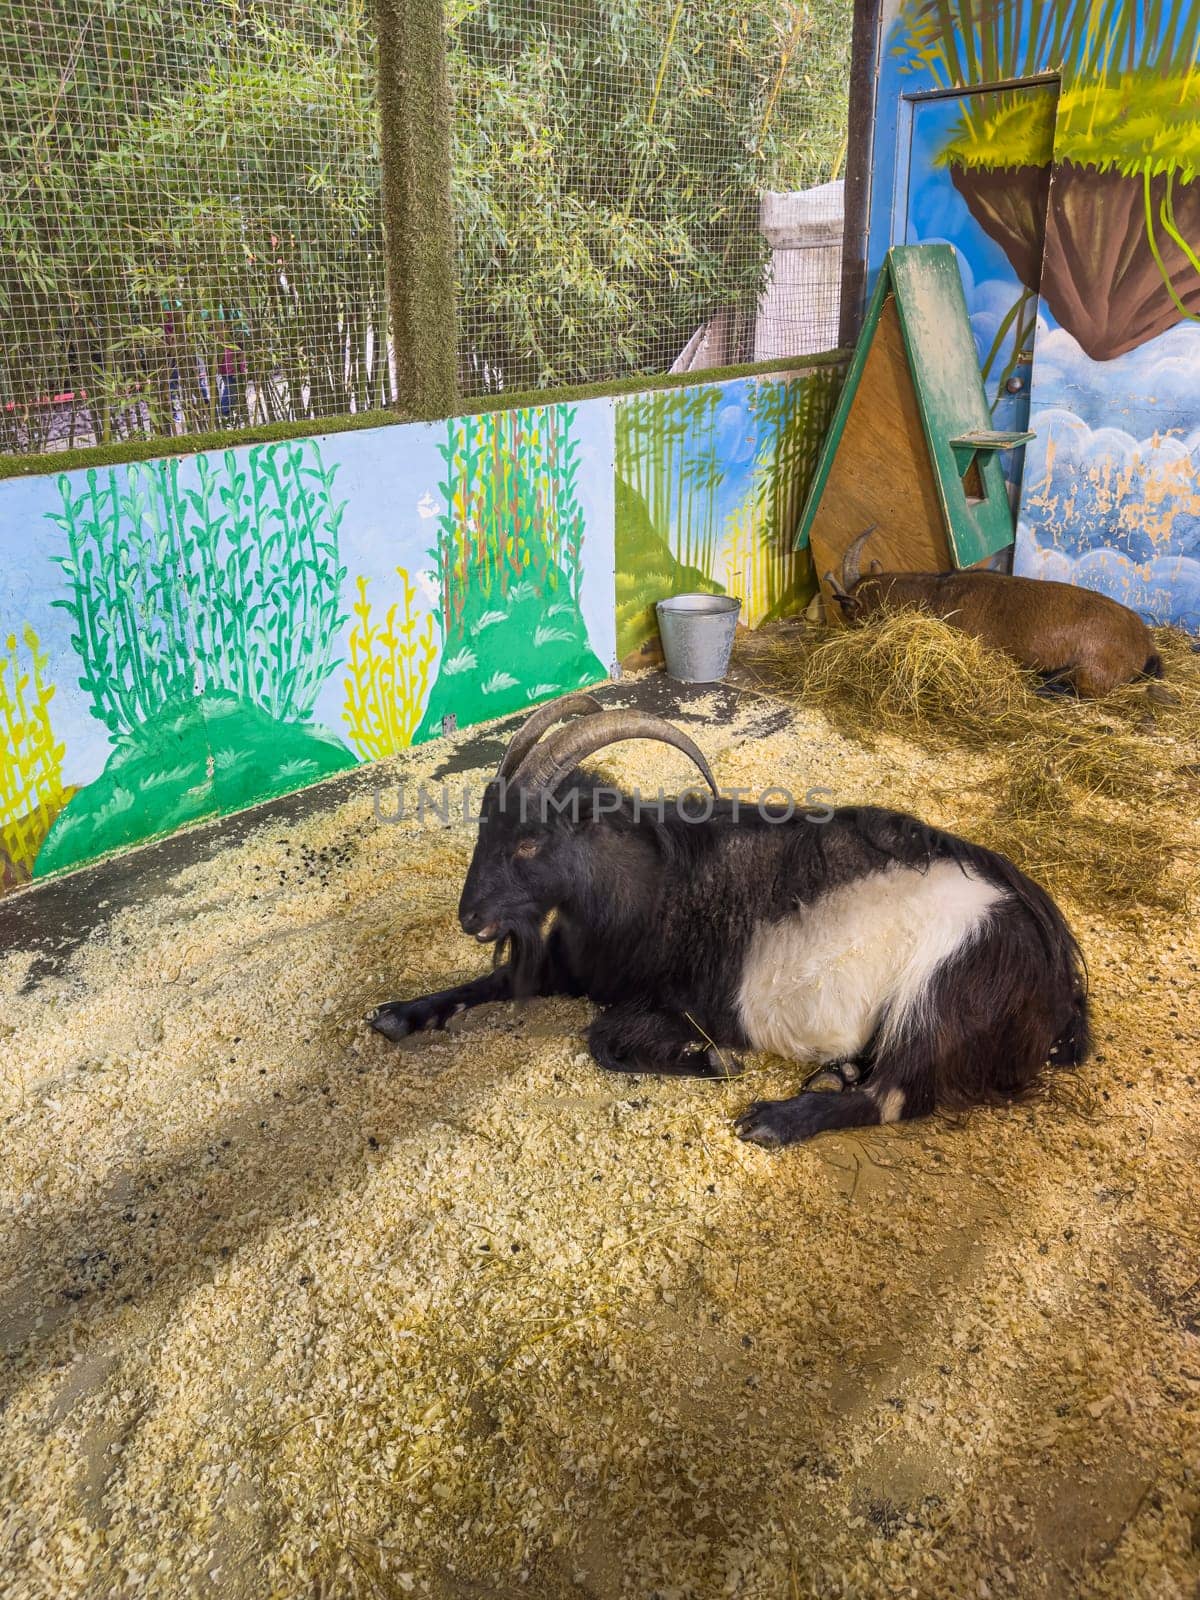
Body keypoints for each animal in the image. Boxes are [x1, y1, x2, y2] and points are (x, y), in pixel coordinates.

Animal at [371, 694, 1094, 1145]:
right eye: (486, 826)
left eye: (529, 842)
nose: (471, 918)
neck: (653, 888)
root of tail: (1058, 969)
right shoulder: (573, 964)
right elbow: (489, 984)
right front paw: (399, 1013)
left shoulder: (686, 1003)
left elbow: (603, 1041)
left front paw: (713, 1061)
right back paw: (835, 1073)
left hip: (941, 994)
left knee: (893, 1096)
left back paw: (777, 1119)